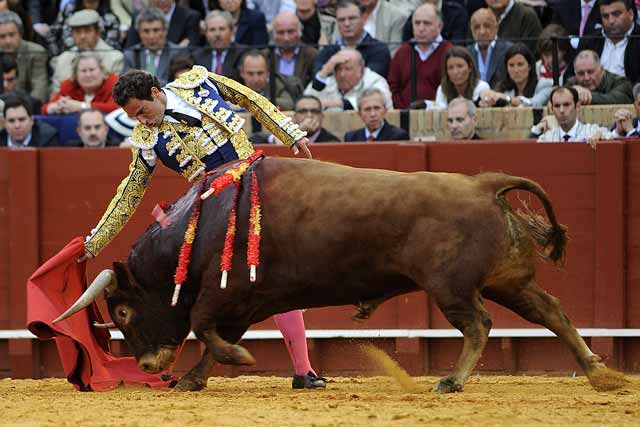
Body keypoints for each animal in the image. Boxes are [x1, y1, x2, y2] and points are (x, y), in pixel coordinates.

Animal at [53, 158, 620, 394]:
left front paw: (235, 361)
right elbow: (214, 337)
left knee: (479, 325)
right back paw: (598, 373)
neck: (204, 220)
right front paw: (195, 378)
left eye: (122, 310)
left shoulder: (222, 293)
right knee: (550, 311)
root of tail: (483, 184)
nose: (149, 365)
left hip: (451, 288)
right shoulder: (248, 300)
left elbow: (204, 326)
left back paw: (451, 382)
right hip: (508, 280)